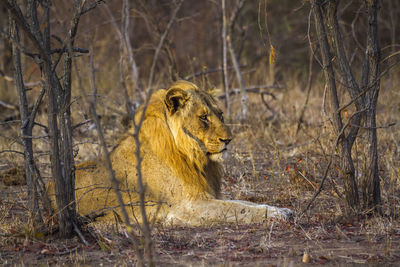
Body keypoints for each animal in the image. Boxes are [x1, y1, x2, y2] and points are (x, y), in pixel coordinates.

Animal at [47, 80, 292, 226]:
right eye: (204, 117)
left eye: (220, 114)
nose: (228, 140)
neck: (192, 156)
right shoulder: (187, 206)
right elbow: (238, 209)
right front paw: (275, 215)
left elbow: (243, 203)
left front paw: (282, 209)